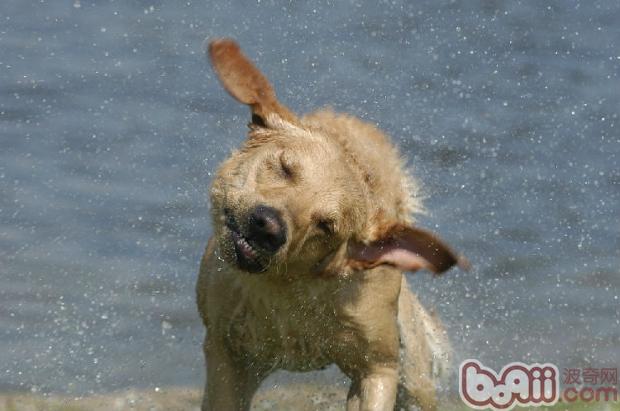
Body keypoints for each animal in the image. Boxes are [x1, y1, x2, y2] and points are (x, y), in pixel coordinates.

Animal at [196, 38, 468, 411]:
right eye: (285, 167)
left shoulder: (378, 365)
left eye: (326, 225)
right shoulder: (228, 352)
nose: (268, 227)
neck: (286, 291)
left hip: (413, 372)